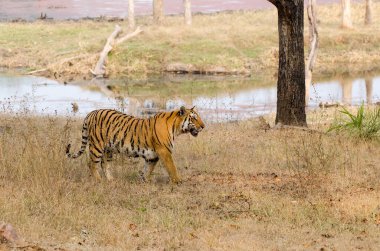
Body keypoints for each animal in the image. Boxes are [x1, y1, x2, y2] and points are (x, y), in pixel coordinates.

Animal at [66, 105, 205, 183]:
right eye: (193, 118)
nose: (203, 126)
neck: (176, 128)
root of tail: (91, 113)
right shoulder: (164, 152)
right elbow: (172, 168)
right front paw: (178, 181)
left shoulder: (152, 156)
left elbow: (148, 169)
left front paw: (145, 181)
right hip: (97, 146)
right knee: (91, 164)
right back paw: (99, 180)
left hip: (108, 149)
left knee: (104, 164)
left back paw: (110, 180)